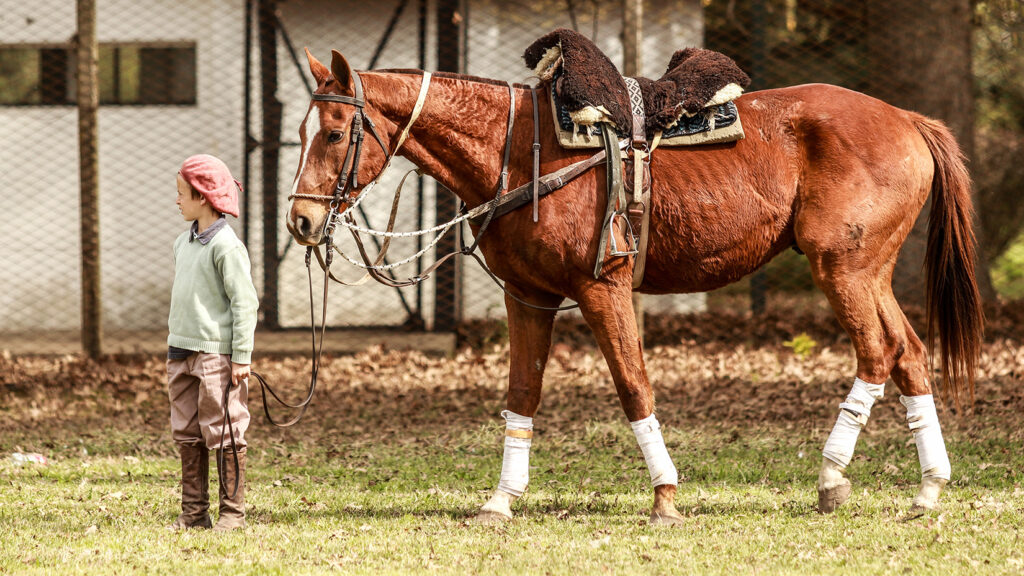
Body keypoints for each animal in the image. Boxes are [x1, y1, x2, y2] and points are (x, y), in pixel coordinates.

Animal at [286, 49, 983, 522]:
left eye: (335, 133)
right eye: (300, 132)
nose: (301, 221)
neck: (520, 151)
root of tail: (906, 118)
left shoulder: (604, 290)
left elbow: (633, 385)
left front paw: (665, 496)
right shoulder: (528, 296)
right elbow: (522, 396)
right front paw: (501, 499)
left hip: (840, 268)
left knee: (877, 355)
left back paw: (832, 478)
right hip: (871, 273)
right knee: (910, 355)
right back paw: (928, 487)